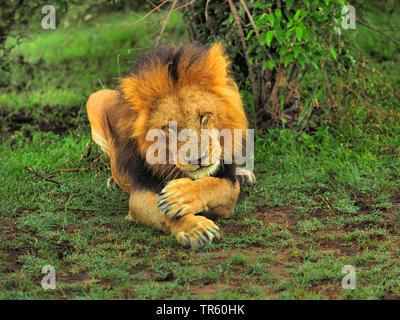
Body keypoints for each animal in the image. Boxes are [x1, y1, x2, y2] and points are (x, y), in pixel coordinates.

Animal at [87, 42, 256, 248]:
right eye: (170, 129)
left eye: (203, 117)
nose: (198, 159)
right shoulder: (140, 193)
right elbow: (163, 214)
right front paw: (195, 228)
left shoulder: (228, 182)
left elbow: (209, 185)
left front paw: (180, 195)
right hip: (95, 99)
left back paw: (244, 175)